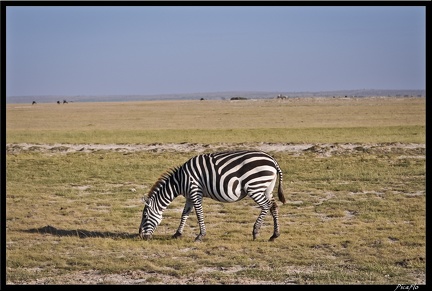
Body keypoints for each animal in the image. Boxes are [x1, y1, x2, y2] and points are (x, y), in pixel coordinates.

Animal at [139, 149, 286, 243]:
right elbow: (184, 214)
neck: (180, 181)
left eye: (145, 216)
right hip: (266, 188)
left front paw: (200, 236)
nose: (140, 236)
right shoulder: (189, 196)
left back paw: (256, 232)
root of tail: (273, 160)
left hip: (254, 186)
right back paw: (274, 235)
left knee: (266, 206)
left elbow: (199, 214)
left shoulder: (195, 192)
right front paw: (177, 234)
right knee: (273, 206)